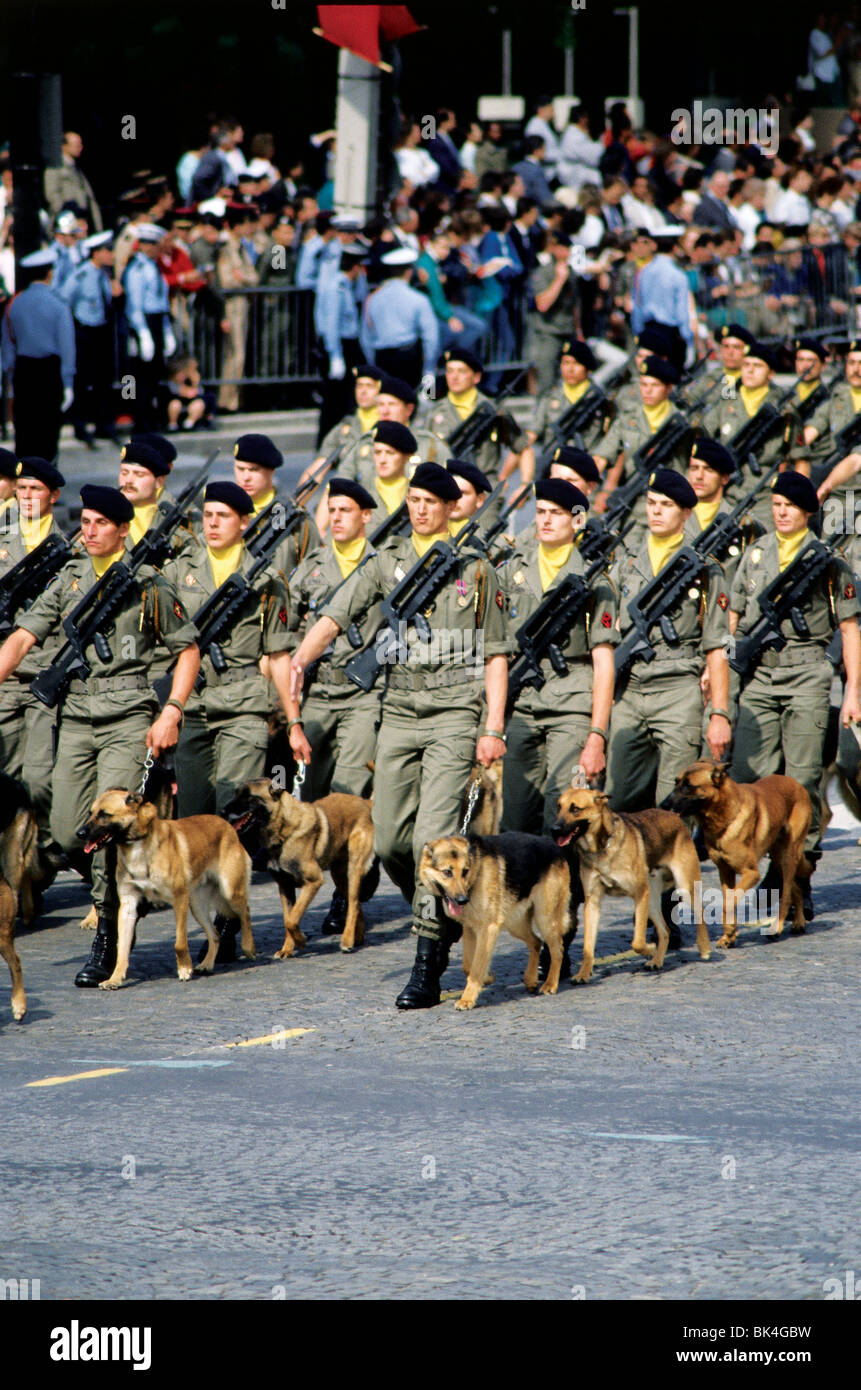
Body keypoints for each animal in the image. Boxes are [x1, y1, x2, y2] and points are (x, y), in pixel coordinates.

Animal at [77, 789, 254, 995]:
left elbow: (179, 943)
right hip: (198, 907)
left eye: (105, 814)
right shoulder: (128, 907)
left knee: (245, 913)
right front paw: (115, 979)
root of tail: (227, 825)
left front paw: (184, 969)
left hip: (230, 891)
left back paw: (249, 947)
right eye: (91, 813)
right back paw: (207, 964)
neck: (138, 845)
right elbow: (122, 950)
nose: (79, 833)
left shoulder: (179, 900)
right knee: (215, 935)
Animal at [225, 778, 378, 961]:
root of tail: (364, 802)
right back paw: (358, 937)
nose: (223, 811)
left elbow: (292, 920)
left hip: (353, 868)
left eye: (248, 797)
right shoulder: (285, 887)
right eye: (236, 794)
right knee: (355, 905)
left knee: (354, 903)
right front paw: (287, 949)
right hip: (339, 876)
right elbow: (287, 920)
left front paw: (301, 941)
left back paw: (347, 941)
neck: (284, 831)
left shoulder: (313, 882)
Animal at [417, 822, 573, 1011]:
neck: (476, 873)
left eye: (465, 871)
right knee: (536, 942)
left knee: (557, 949)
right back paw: (531, 979)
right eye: (447, 872)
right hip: (515, 924)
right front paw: (487, 977)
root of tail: (555, 846)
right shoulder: (470, 928)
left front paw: (467, 999)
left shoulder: (488, 929)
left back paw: (550, 984)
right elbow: (468, 966)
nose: (463, 900)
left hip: (545, 919)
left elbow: (476, 967)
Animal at [553, 789, 712, 984]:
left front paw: (649, 948)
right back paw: (657, 961)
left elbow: (637, 942)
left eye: (575, 809)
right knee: (665, 930)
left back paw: (704, 948)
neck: (601, 846)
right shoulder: (593, 903)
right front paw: (583, 973)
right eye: (559, 807)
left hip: (682, 887)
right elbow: (588, 947)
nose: (553, 830)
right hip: (651, 902)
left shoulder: (639, 894)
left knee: (700, 912)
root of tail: (674, 816)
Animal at [664, 761, 812, 945]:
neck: (726, 815)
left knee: (786, 896)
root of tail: (797, 784)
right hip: (779, 859)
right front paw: (729, 934)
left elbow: (727, 904)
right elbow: (729, 900)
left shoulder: (751, 873)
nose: (663, 805)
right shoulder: (725, 871)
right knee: (794, 888)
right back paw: (799, 921)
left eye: (688, 786)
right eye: (676, 782)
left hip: (788, 856)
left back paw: (776, 928)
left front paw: (730, 931)